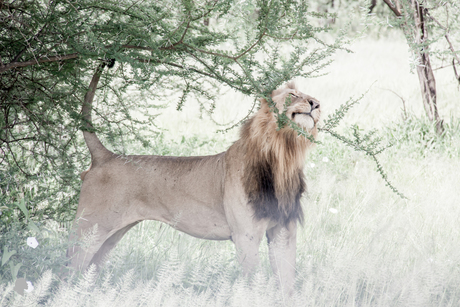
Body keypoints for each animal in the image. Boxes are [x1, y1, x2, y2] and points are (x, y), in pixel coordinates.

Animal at [67, 64, 320, 296]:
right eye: (293, 95)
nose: (316, 104)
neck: (283, 158)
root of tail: (105, 156)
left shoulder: (284, 232)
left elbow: (286, 283)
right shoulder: (246, 235)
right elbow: (251, 282)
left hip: (110, 237)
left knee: (88, 273)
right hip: (89, 232)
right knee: (67, 270)